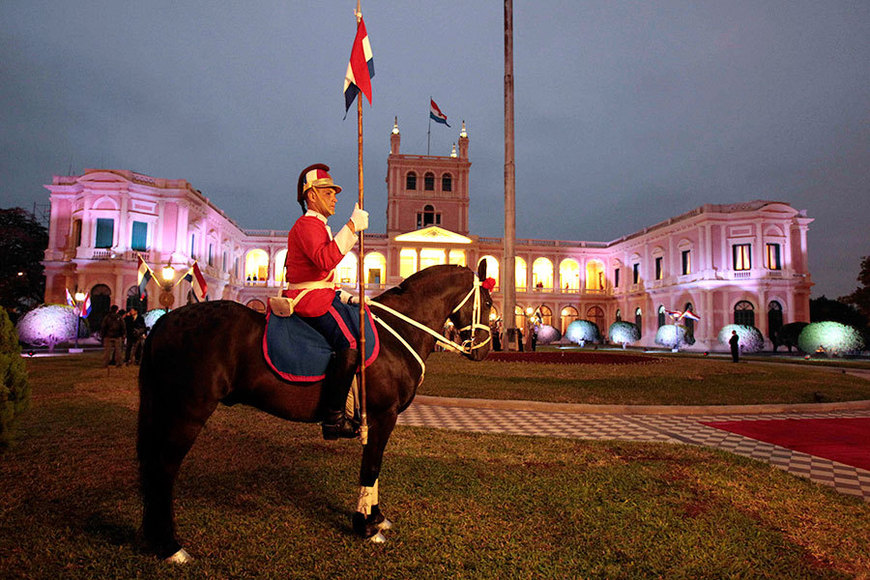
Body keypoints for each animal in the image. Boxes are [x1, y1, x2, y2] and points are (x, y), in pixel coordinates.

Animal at [136, 264, 490, 560]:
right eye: (486, 302)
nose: (484, 349)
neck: (397, 333)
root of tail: (165, 320)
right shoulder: (382, 415)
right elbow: (371, 467)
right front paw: (365, 526)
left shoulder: (379, 419)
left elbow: (374, 468)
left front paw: (375, 517)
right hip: (189, 411)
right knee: (164, 468)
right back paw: (170, 546)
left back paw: (154, 539)